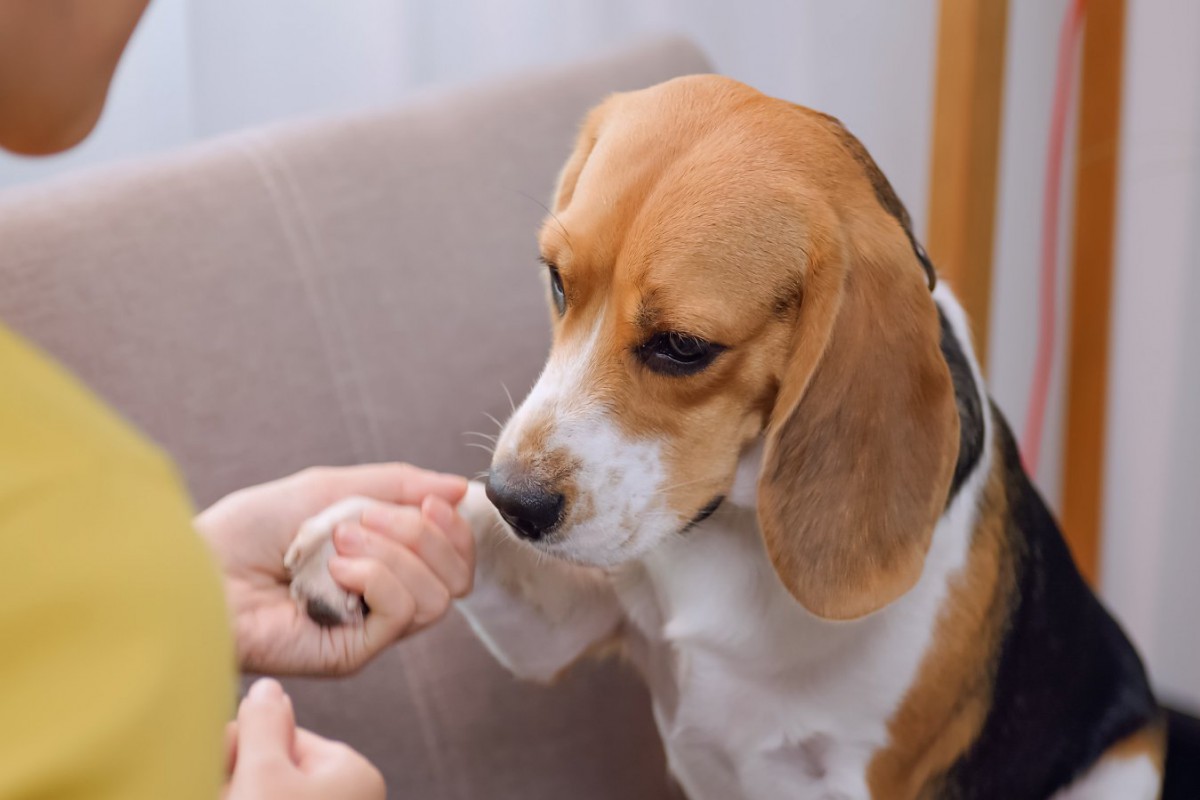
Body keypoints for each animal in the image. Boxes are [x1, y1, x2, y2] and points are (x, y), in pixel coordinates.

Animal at [288, 76, 1161, 800]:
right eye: (558, 282)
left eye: (683, 346)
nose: (518, 500)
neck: (731, 537)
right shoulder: (562, 626)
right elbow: (462, 521)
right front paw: (361, 534)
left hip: (1128, 760)